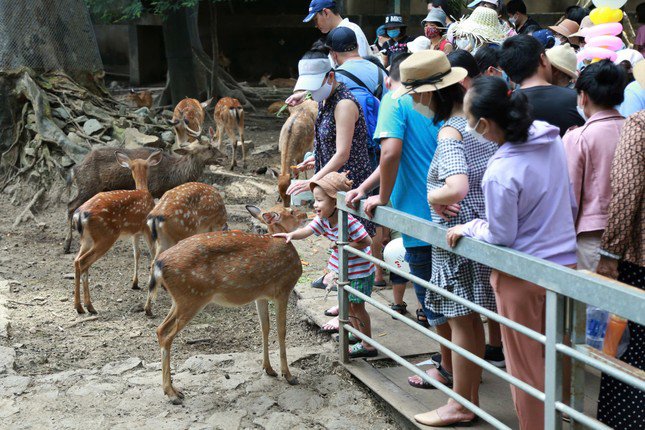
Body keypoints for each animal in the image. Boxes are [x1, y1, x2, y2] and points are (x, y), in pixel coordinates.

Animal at [65, 136, 226, 254]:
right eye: (208, 147)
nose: (224, 157)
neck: (171, 175)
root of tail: (75, 169)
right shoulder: (153, 190)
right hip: (88, 186)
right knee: (71, 206)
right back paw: (67, 245)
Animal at [71, 149, 164, 314]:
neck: (143, 190)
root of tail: (80, 215)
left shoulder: (135, 232)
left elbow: (136, 253)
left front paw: (135, 283)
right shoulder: (146, 228)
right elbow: (153, 255)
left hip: (87, 239)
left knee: (77, 261)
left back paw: (81, 306)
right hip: (106, 236)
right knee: (83, 262)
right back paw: (87, 306)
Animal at [142, 181, 228, 316]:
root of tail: (156, 217)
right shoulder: (212, 225)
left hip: (163, 240)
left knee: (153, 263)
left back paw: (148, 309)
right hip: (183, 233)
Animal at [146, 204, 306, 404]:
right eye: (290, 211)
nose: (306, 214)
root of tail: (159, 265)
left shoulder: (260, 295)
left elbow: (265, 328)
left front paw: (269, 369)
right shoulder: (283, 289)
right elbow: (281, 331)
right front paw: (289, 375)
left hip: (180, 299)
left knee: (160, 329)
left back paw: (172, 389)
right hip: (192, 297)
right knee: (167, 335)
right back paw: (172, 393)